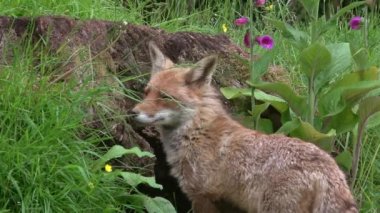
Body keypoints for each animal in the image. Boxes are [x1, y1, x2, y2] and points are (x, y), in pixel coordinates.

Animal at [132, 41, 358, 213]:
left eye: (165, 97)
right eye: (146, 92)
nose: (133, 112)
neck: (195, 132)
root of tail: (329, 170)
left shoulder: (203, 196)